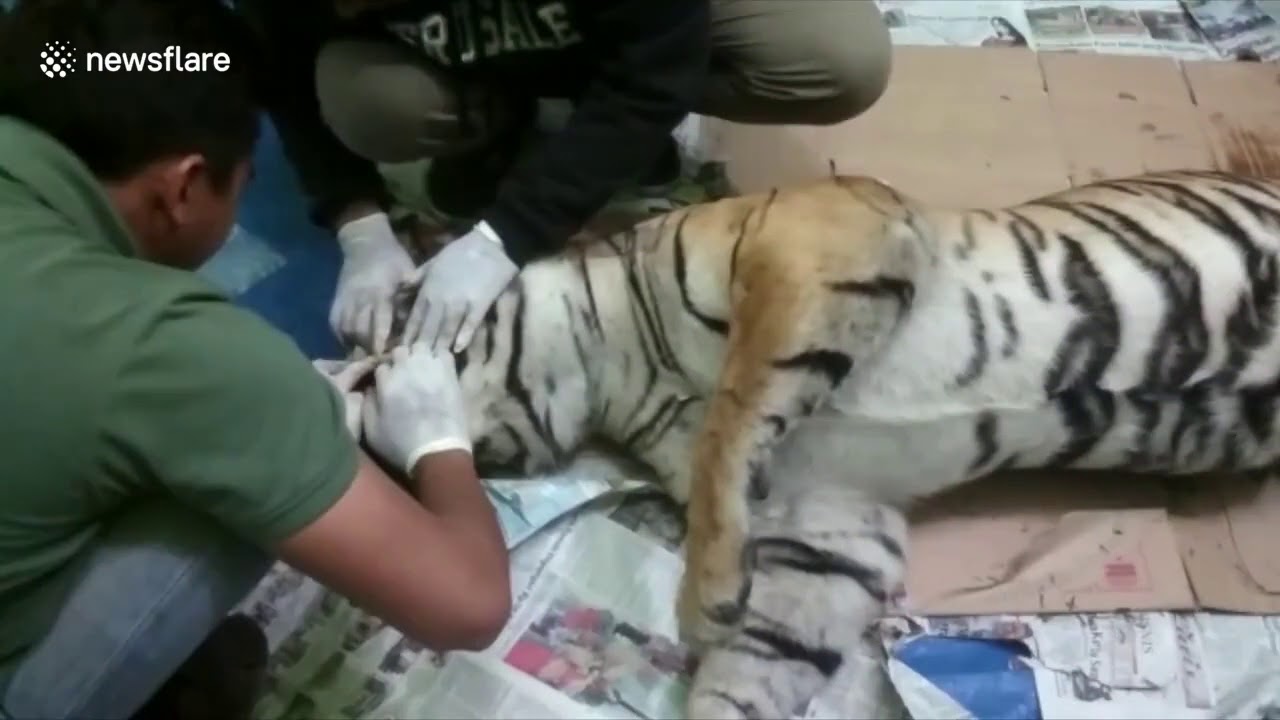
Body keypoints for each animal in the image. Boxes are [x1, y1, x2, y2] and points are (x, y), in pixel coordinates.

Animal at [367, 168, 1280, 719]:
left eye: (372, 370)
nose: (384, 461)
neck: (619, 372)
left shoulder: (808, 239)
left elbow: (736, 409)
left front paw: (702, 598)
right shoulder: (831, 521)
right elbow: (762, 658)